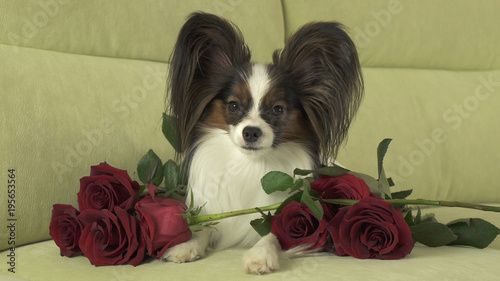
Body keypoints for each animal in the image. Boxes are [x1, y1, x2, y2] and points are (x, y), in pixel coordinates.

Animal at [164, 12, 364, 272]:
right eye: (234, 105)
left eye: (278, 109)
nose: (251, 132)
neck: (250, 164)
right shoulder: (217, 212)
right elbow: (203, 228)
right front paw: (186, 246)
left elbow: (272, 233)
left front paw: (260, 255)